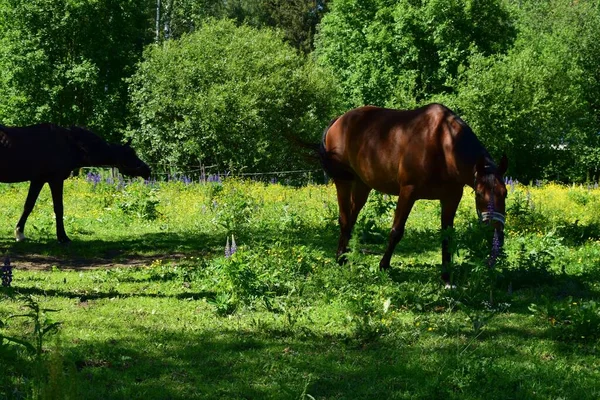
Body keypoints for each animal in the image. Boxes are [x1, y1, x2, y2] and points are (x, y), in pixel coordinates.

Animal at [0, 124, 150, 244]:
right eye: (130, 154)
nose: (147, 169)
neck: (70, 144)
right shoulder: (55, 180)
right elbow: (58, 208)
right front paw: (63, 238)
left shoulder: (38, 180)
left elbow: (28, 206)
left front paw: (19, 233)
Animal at [318, 103, 506, 284]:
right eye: (479, 194)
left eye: (505, 194)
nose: (496, 232)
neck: (442, 144)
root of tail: (339, 120)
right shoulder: (408, 192)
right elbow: (396, 231)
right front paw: (383, 266)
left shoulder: (451, 198)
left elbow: (447, 237)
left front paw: (446, 278)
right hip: (344, 180)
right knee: (344, 218)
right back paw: (340, 258)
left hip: (362, 184)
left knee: (351, 217)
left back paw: (345, 254)